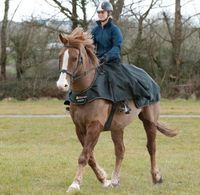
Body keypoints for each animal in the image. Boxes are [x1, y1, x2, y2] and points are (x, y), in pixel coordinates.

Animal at [56, 27, 177, 193]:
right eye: (60, 56)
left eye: (75, 58)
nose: (61, 85)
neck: (87, 90)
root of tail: (149, 78)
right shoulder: (80, 128)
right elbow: (90, 156)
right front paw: (103, 179)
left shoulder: (95, 126)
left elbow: (84, 156)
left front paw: (75, 184)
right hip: (117, 127)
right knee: (120, 151)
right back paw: (114, 180)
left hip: (149, 121)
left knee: (151, 147)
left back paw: (156, 176)